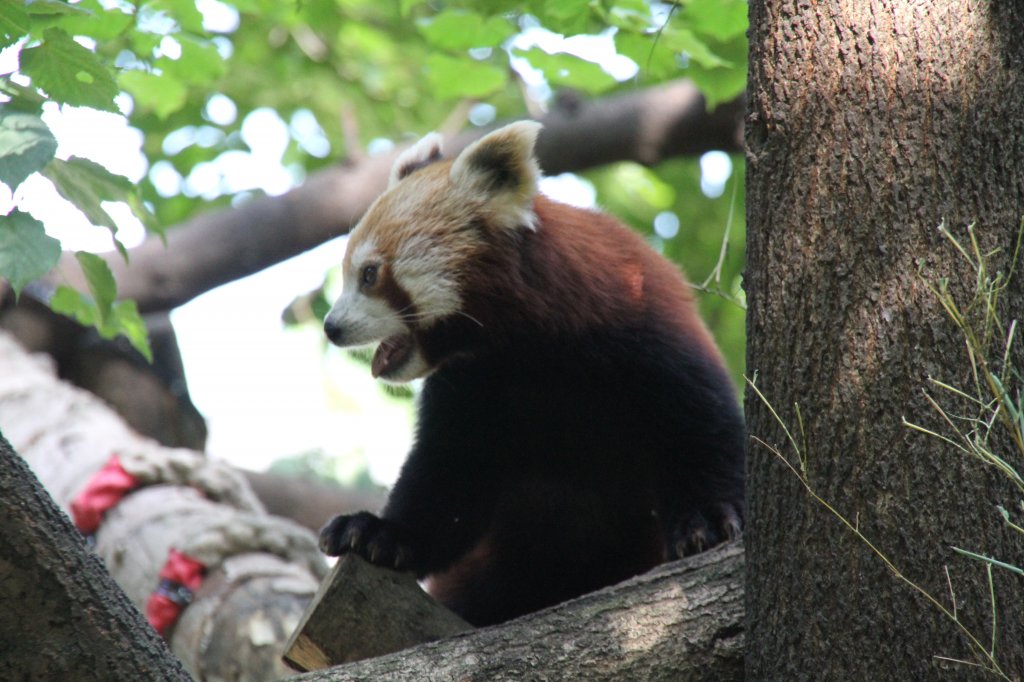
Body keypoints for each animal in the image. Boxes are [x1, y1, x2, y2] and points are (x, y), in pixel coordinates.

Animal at [319, 123, 745, 626]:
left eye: (368, 275)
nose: (331, 326)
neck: (528, 347)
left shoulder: (643, 324)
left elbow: (701, 424)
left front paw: (706, 521)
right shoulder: (470, 383)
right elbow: (449, 475)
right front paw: (379, 533)